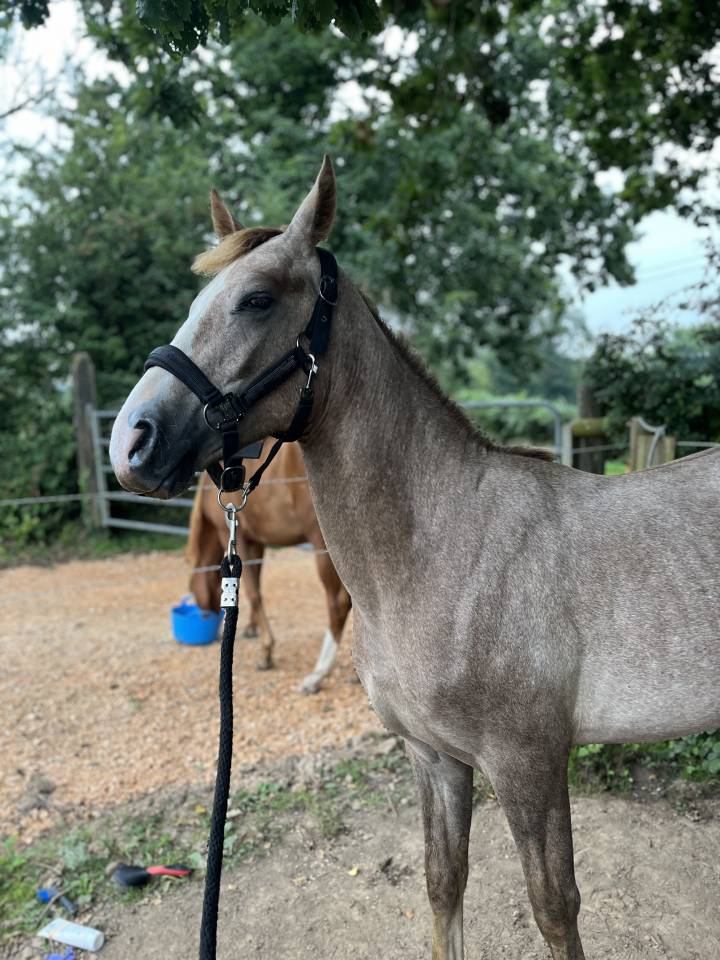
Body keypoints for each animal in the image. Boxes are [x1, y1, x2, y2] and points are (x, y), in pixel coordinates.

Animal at [186, 442, 351, 692]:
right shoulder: (257, 542)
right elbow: (257, 586)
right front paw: (252, 628)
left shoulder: (236, 537)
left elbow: (252, 593)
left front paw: (266, 651)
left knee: (339, 604)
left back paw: (318, 675)